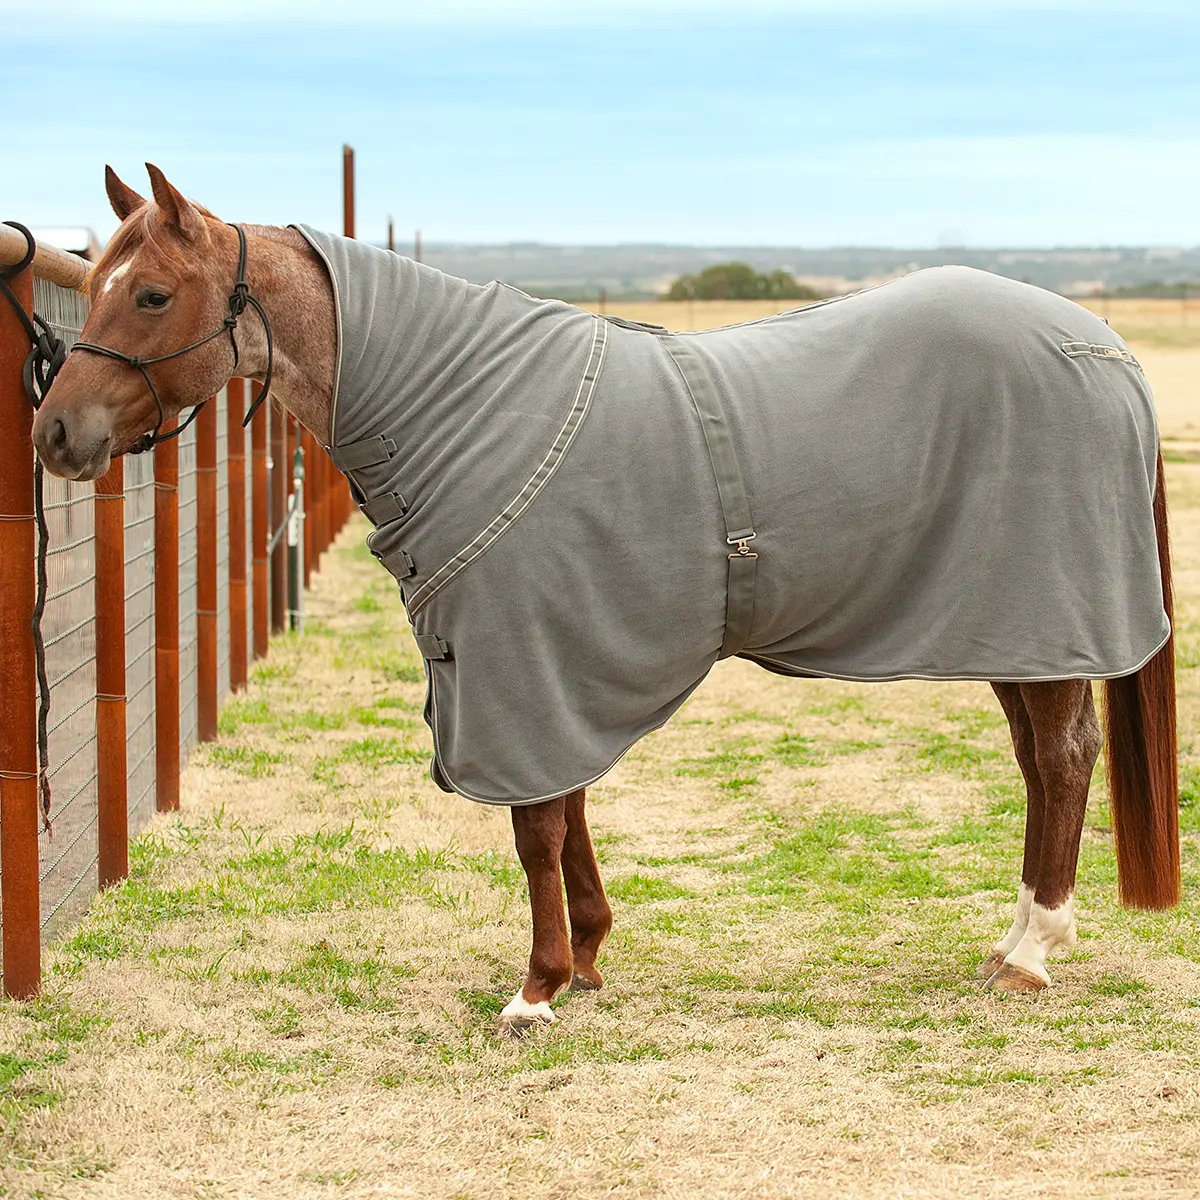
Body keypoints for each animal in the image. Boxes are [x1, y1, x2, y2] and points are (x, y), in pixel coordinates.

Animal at [33, 165, 1178, 1034]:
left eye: (148, 294)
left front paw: (536, 990)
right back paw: (1014, 940)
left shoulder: (523, 659)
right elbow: (567, 801)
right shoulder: (549, 660)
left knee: (1063, 760)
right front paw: (584, 957)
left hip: (1041, 618)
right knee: (1041, 762)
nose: (55, 433)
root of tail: (1100, 342)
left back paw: (1031, 953)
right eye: (97, 286)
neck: (465, 406)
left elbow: (536, 823)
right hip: (1013, 631)